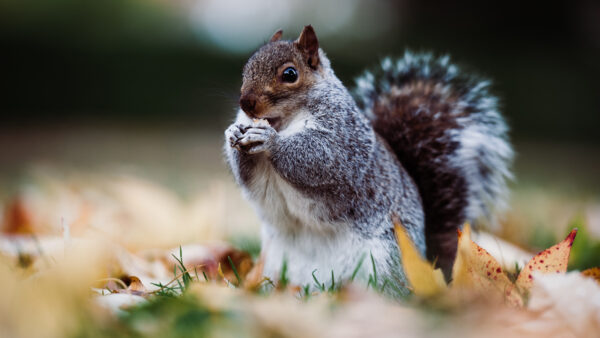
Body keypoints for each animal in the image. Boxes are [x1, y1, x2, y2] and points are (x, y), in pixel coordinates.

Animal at [223, 25, 512, 296]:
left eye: (290, 74)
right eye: (246, 68)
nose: (246, 103)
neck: (283, 122)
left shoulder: (343, 138)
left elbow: (320, 157)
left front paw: (269, 140)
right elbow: (250, 179)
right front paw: (233, 133)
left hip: (383, 258)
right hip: (274, 260)